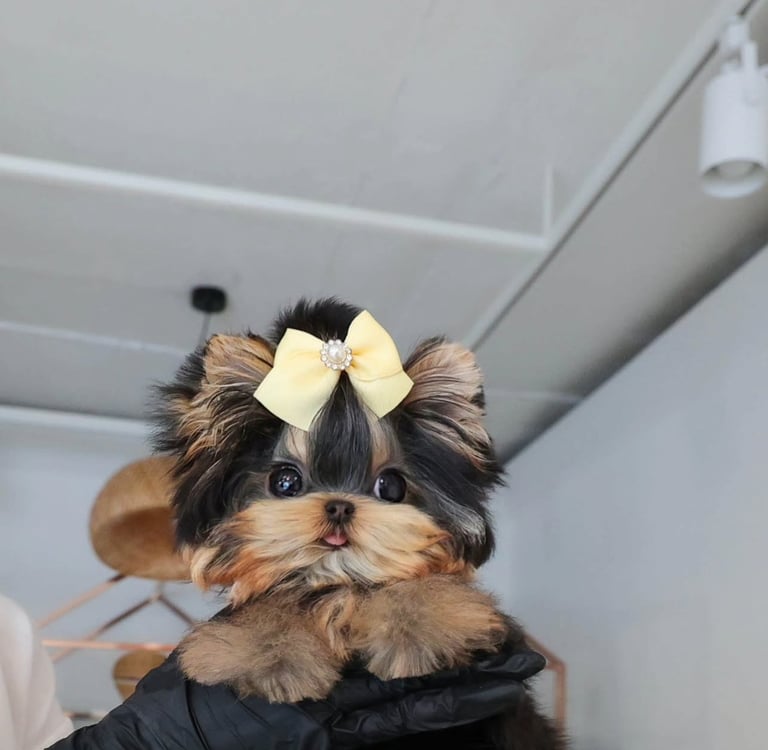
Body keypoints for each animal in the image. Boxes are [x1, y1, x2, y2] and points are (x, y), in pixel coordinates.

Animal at [153, 298, 564, 749]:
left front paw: (420, 631)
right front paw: (271, 658)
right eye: (285, 481)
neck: (339, 581)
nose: (338, 506)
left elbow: (419, 586)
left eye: (391, 486)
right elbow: (270, 606)